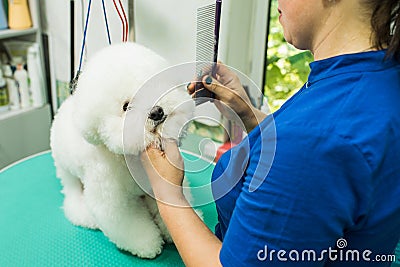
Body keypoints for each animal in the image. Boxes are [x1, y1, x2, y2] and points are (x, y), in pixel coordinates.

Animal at [49, 42, 195, 260]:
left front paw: (171, 232)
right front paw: (148, 243)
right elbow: (127, 221)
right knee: (72, 193)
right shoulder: (112, 199)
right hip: (66, 170)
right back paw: (83, 214)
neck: (130, 161)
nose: (157, 112)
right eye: (126, 106)